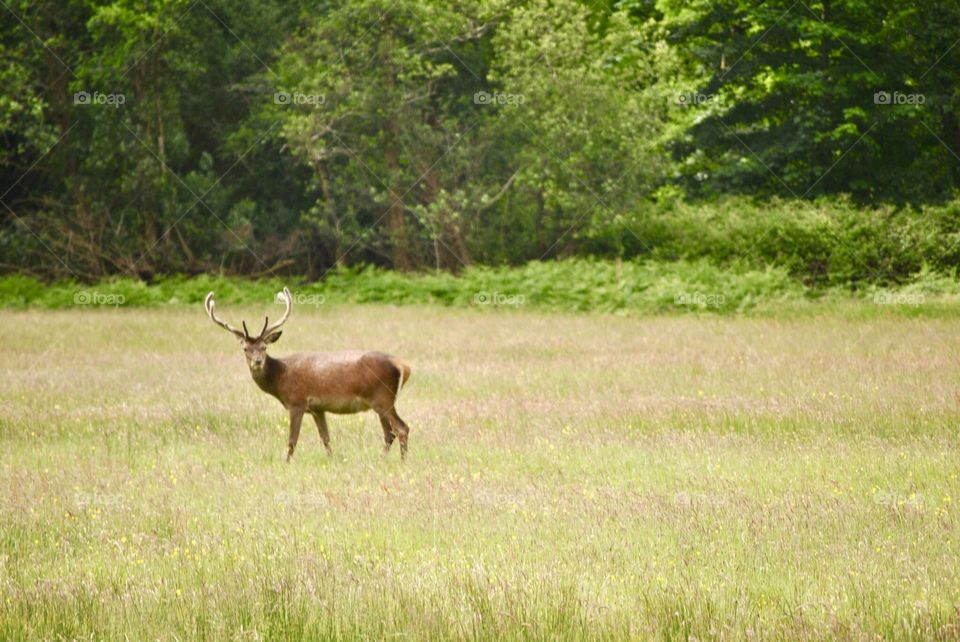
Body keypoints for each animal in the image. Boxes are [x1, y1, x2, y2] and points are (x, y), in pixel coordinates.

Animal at [202, 286, 412, 460]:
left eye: (264, 347)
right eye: (245, 348)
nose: (258, 361)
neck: (280, 380)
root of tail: (402, 365)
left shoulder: (297, 402)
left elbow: (292, 441)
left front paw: (286, 463)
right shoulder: (318, 409)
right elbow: (325, 438)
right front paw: (331, 460)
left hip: (383, 397)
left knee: (401, 428)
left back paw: (402, 461)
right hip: (381, 401)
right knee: (389, 433)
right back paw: (382, 459)